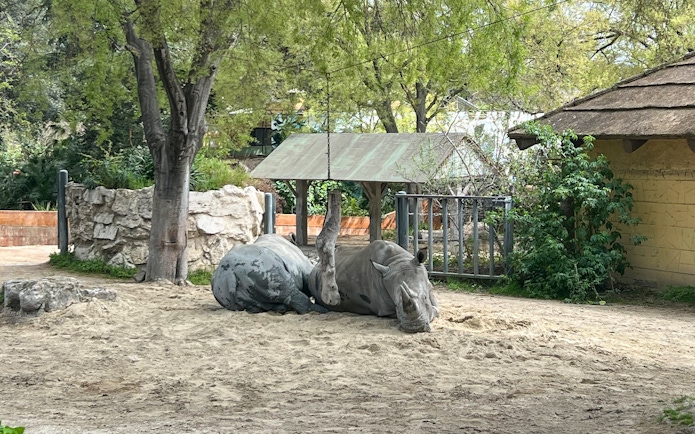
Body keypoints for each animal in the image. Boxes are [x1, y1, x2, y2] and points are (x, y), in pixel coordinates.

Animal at [211, 234, 341, 314]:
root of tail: (230, 274)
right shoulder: (306, 270)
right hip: (263, 268)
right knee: (289, 291)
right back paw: (322, 311)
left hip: (224, 288)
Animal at [307, 240, 439, 333]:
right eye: (396, 304)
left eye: (425, 298)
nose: (414, 328)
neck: (397, 260)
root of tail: (316, 264)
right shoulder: (385, 310)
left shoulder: (429, 286)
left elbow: (435, 307)